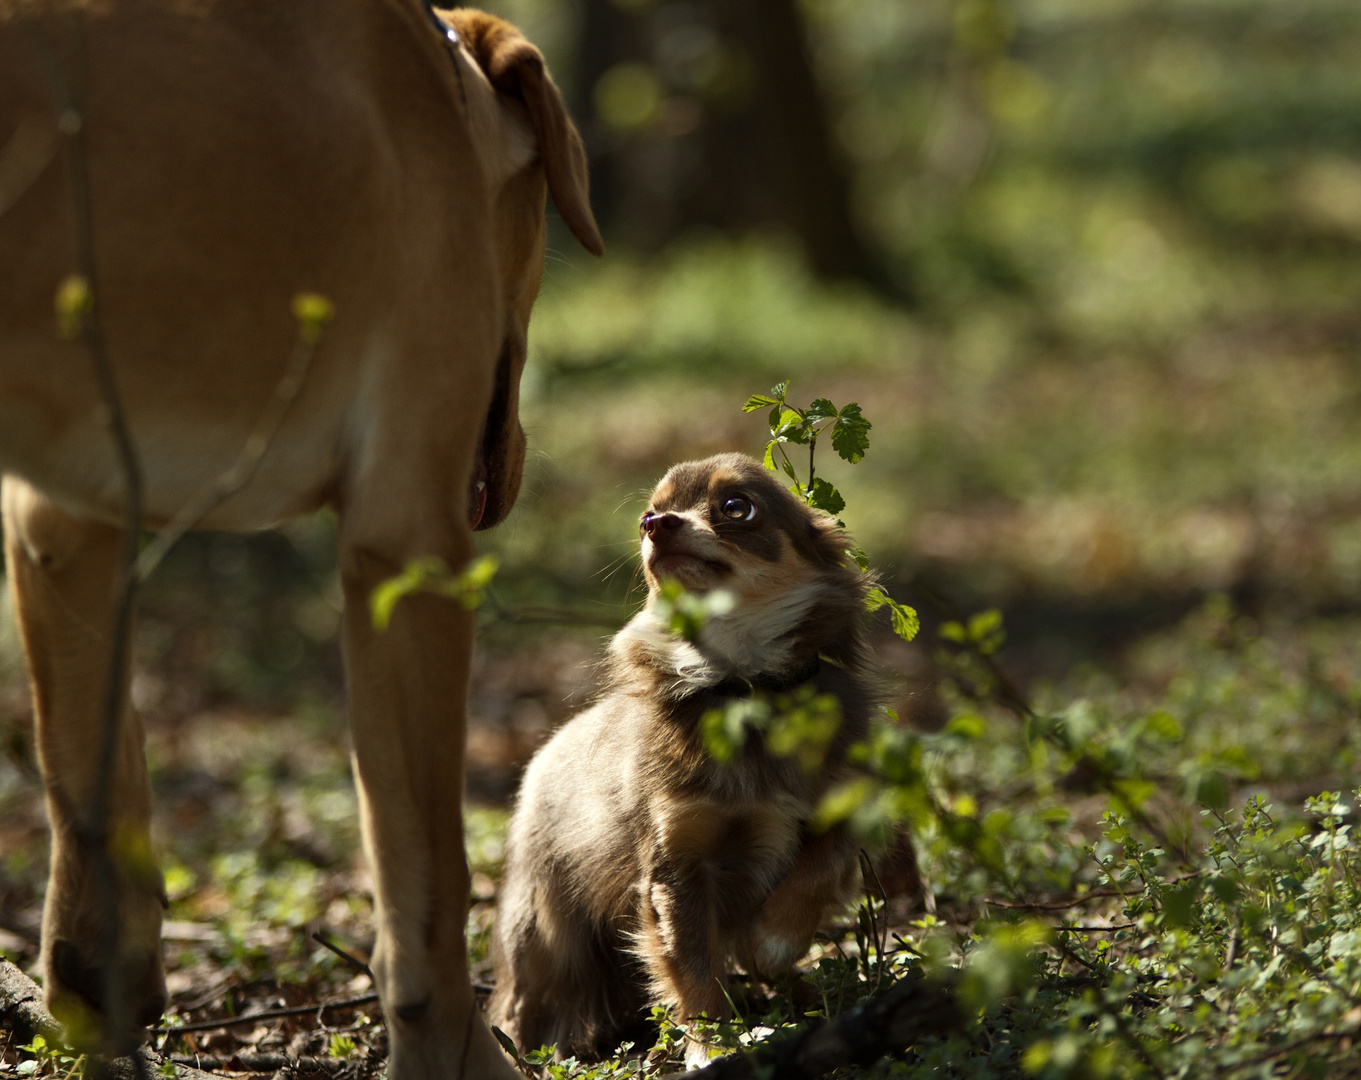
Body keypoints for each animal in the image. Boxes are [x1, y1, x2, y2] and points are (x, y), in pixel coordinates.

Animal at [0, 4, 604, 1071]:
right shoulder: (405, 544)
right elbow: (427, 879)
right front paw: (457, 1053)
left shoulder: (63, 521)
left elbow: (93, 772)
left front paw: (96, 976)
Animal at [489, 448, 881, 1060]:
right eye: (648, 514)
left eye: (737, 507)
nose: (657, 525)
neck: (741, 684)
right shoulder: (677, 865)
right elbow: (692, 965)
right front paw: (714, 1047)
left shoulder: (844, 807)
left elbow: (822, 863)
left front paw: (772, 939)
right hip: (546, 932)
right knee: (524, 998)